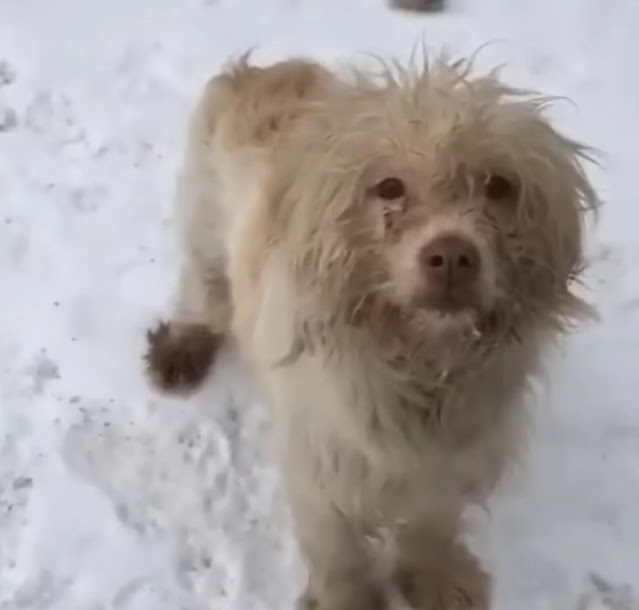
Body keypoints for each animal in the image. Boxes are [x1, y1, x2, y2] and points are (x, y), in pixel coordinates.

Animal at [144, 53, 600, 608]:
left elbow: (431, 527)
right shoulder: (319, 466)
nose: (452, 256)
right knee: (202, 289)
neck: (419, 364)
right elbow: (337, 553)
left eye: (498, 185)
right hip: (204, 223)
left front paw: (434, 578)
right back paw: (182, 346)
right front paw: (349, 597)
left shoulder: (452, 461)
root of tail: (261, 69)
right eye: (389, 187)